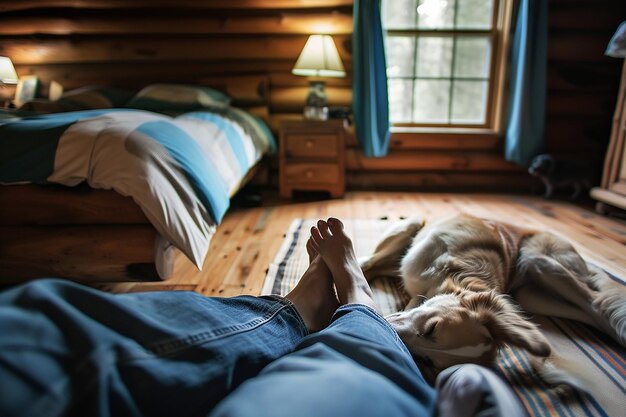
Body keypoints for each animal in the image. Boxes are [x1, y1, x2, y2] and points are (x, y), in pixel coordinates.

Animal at [358, 213, 624, 386]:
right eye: (431, 328)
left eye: (425, 360)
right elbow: (367, 263)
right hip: (532, 276)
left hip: (535, 276)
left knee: (597, 304)